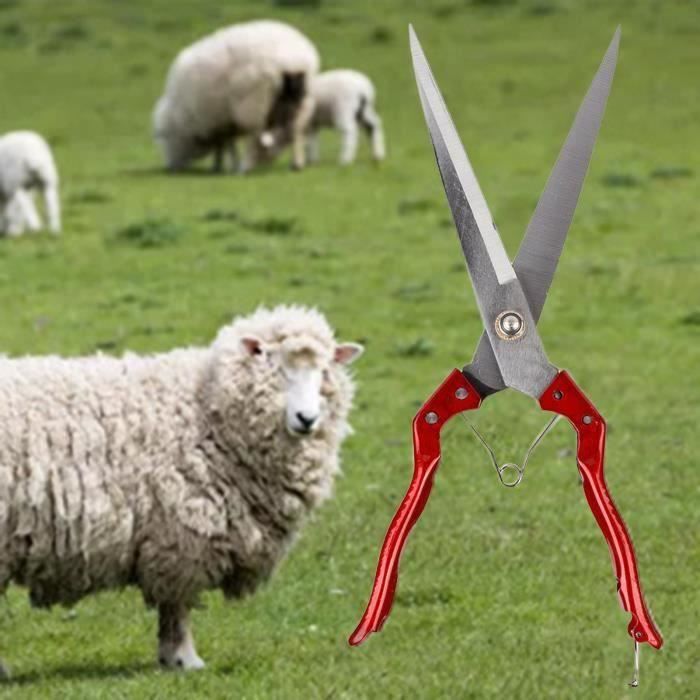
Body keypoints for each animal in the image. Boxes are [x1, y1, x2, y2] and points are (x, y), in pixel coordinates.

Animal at [0, 306, 363, 673]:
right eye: (275, 367)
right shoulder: (182, 534)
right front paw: (184, 658)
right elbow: (178, 604)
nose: (307, 418)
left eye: (323, 371)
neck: (209, 408)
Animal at [153, 20, 320, 173]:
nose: (170, 168)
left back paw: (244, 168)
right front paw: (220, 166)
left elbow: (225, 144)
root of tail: (293, 60)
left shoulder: (216, 120)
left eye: (164, 137)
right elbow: (226, 144)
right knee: (296, 131)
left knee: (254, 135)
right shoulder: (224, 121)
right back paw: (297, 164)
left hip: (253, 103)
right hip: (301, 101)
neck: (180, 114)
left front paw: (224, 165)